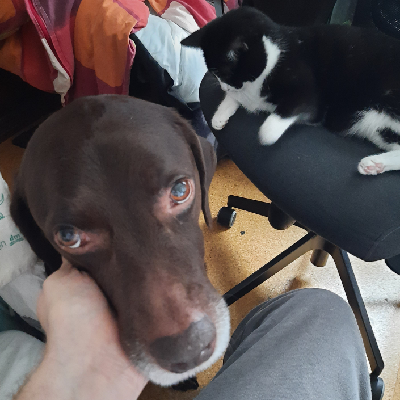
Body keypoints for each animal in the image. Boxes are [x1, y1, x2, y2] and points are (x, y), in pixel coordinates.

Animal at [181, 7, 400, 175]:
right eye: (214, 74)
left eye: (224, 73)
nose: (223, 86)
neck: (276, 55)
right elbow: (238, 98)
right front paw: (220, 116)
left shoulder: (309, 96)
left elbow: (272, 125)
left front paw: (264, 136)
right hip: (378, 128)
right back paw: (374, 165)